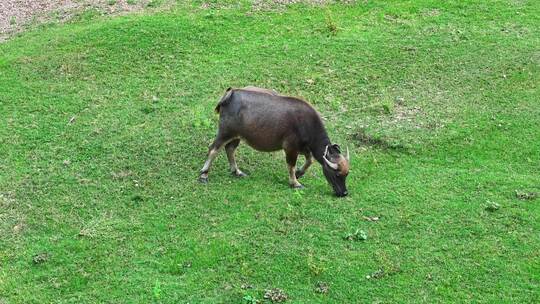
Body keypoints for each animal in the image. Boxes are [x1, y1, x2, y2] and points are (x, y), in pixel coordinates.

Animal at [198, 85, 350, 197]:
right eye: (337, 174)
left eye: (347, 174)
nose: (344, 193)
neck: (307, 124)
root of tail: (231, 93)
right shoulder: (290, 148)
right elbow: (291, 165)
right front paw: (295, 183)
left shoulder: (304, 148)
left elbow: (310, 160)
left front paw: (299, 174)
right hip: (225, 132)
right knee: (213, 149)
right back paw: (204, 175)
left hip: (237, 136)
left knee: (229, 149)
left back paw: (237, 172)